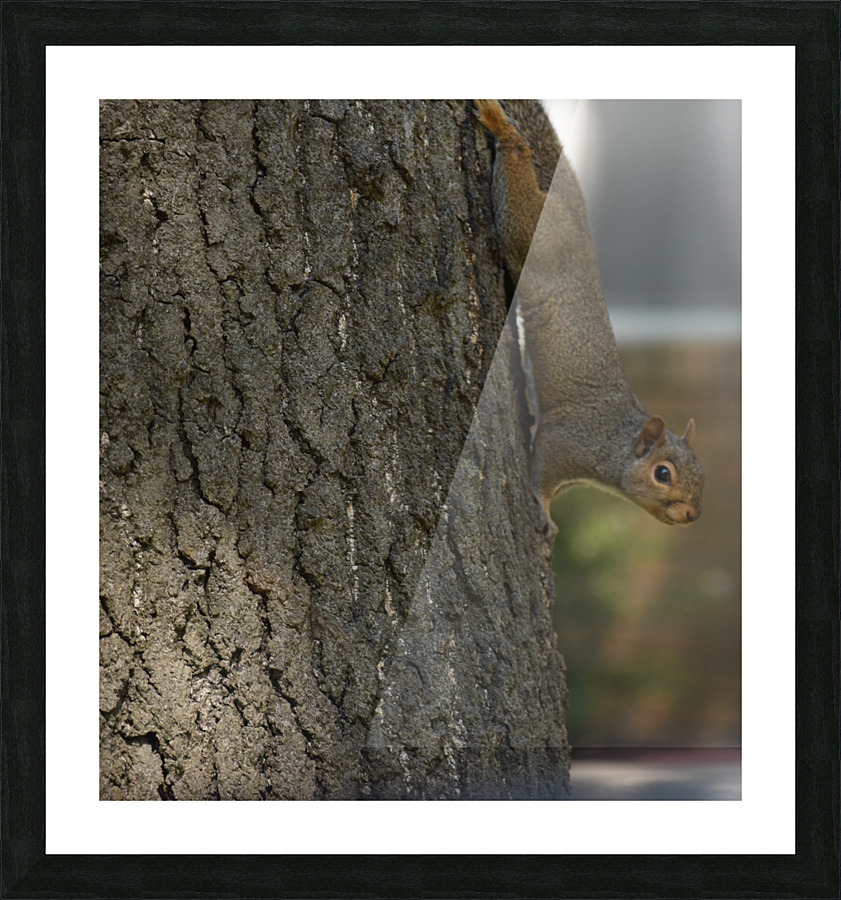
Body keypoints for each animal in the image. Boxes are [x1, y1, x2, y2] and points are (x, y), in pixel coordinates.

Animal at [473, 99, 704, 535]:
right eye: (663, 474)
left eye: (703, 474)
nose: (692, 515)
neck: (615, 442)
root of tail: (577, 214)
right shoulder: (568, 440)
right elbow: (541, 472)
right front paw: (545, 515)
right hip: (531, 234)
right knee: (517, 163)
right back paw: (501, 125)